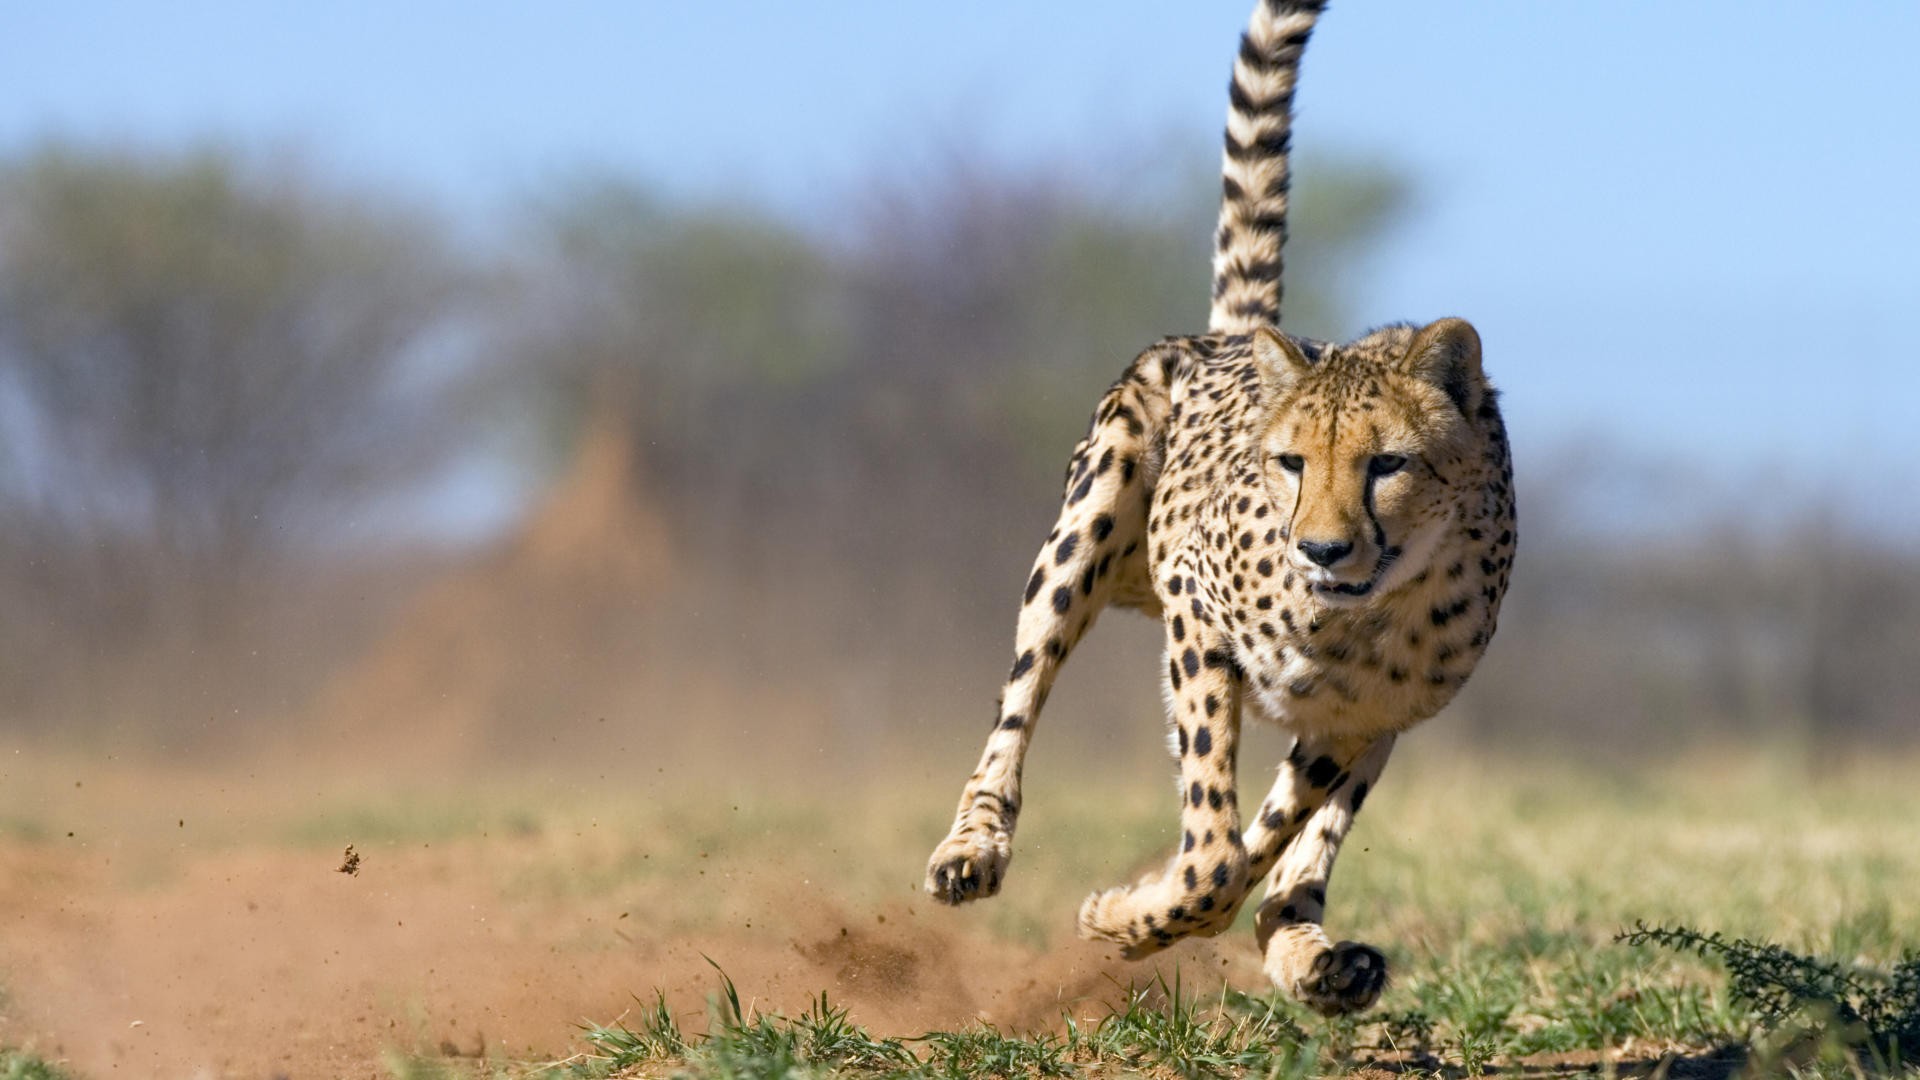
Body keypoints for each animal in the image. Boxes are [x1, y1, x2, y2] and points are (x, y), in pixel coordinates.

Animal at [917, 0, 1512, 1014]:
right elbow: (1213, 853)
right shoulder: (1198, 621)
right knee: (1020, 700)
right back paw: (974, 847)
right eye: (1291, 463)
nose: (1322, 550)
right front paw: (1125, 917)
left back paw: (1315, 955)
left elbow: (1259, 842)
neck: (1362, 613)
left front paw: (1140, 916)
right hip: (1089, 526)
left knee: (1292, 854)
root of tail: (1237, 336)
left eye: (1388, 465)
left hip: (1378, 727)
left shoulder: (1358, 716)